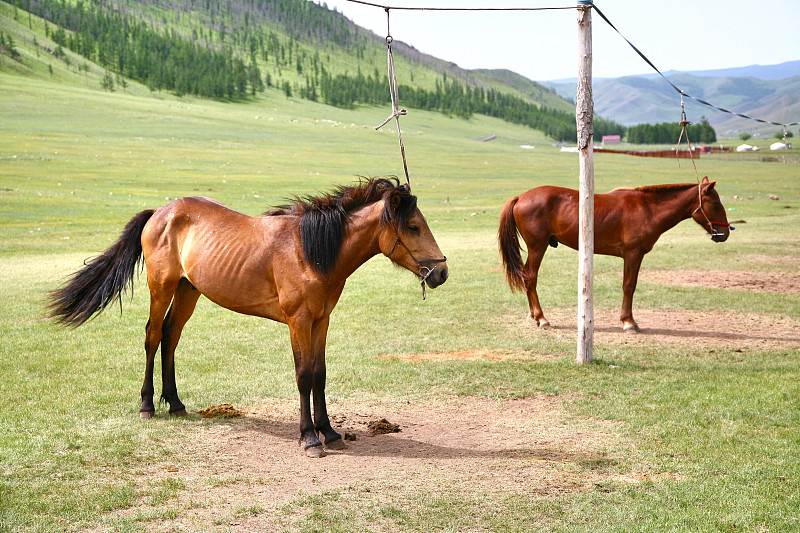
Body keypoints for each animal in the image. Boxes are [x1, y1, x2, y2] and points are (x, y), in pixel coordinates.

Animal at [48, 177, 450, 456]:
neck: (311, 250)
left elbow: (320, 375)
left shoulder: (321, 321)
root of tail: (160, 213)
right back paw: (148, 405)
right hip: (161, 287)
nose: (442, 272)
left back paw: (175, 403)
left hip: (188, 290)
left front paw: (330, 433)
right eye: (413, 226)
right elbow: (304, 376)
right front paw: (309, 438)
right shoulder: (298, 322)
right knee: (152, 336)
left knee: (170, 336)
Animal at [500, 177, 732, 330]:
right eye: (716, 204)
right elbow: (629, 286)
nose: (725, 233)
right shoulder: (633, 254)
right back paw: (541, 318)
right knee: (531, 277)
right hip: (537, 247)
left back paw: (534, 315)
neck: (647, 208)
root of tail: (521, 197)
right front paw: (628, 322)